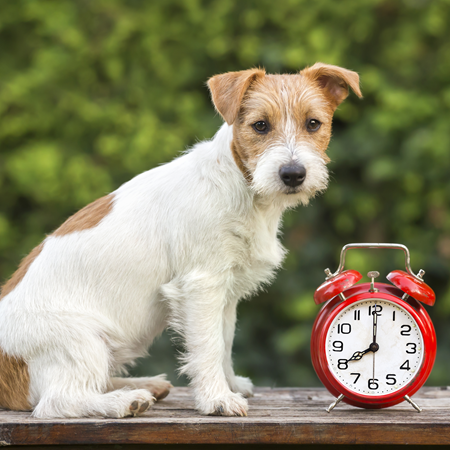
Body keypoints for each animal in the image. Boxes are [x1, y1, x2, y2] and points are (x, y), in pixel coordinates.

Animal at [0, 63, 362, 418]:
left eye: (313, 123)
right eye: (260, 126)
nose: (293, 174)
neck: (242, 187)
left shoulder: (226, 292)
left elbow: (224, 340)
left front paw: (229, 384)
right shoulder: (202, 285)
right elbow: (209, 345)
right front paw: (218, 398)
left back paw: (143, 385)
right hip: (80, 341)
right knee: (58, 401)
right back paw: (125, 401)